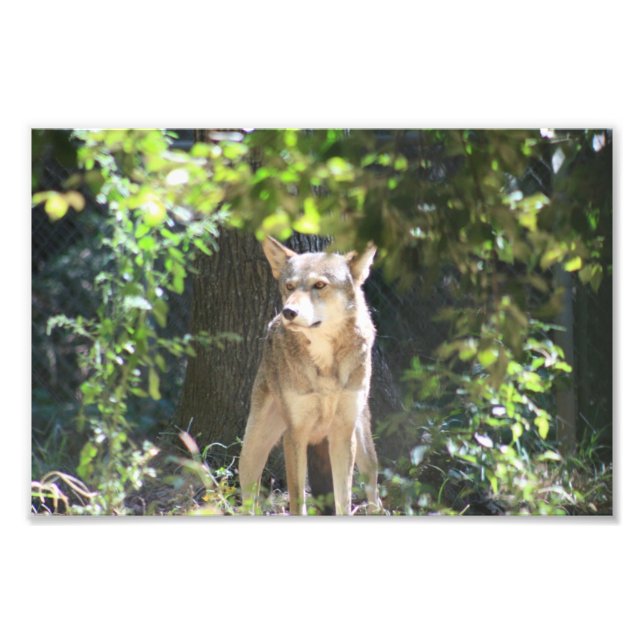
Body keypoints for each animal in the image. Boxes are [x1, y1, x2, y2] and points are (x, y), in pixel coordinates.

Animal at [238, 236, 381, 515]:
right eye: (289, 286)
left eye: (320, 285)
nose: (288, 312)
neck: (325, 363)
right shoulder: (295, 434)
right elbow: (297, 502)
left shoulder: (342, 434)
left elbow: (344, 501)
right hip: (251, 451)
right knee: (248, 498)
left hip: (361, 437)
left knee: (372, 482)